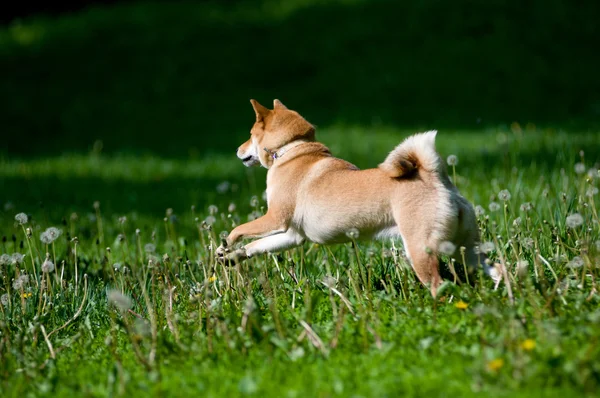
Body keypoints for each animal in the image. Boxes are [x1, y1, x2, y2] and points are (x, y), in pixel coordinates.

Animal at [218, 99, 490, 296]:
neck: (293, 149)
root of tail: (435, 178)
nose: (237, 149)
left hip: (421, 252)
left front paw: (227, 242)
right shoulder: (292, 235)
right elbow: (257, 245)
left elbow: (241, 229)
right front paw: (232, 256)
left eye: (250, 134)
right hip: (467, 251)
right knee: (489, 269)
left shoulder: (275, 219)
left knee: (438, 286)